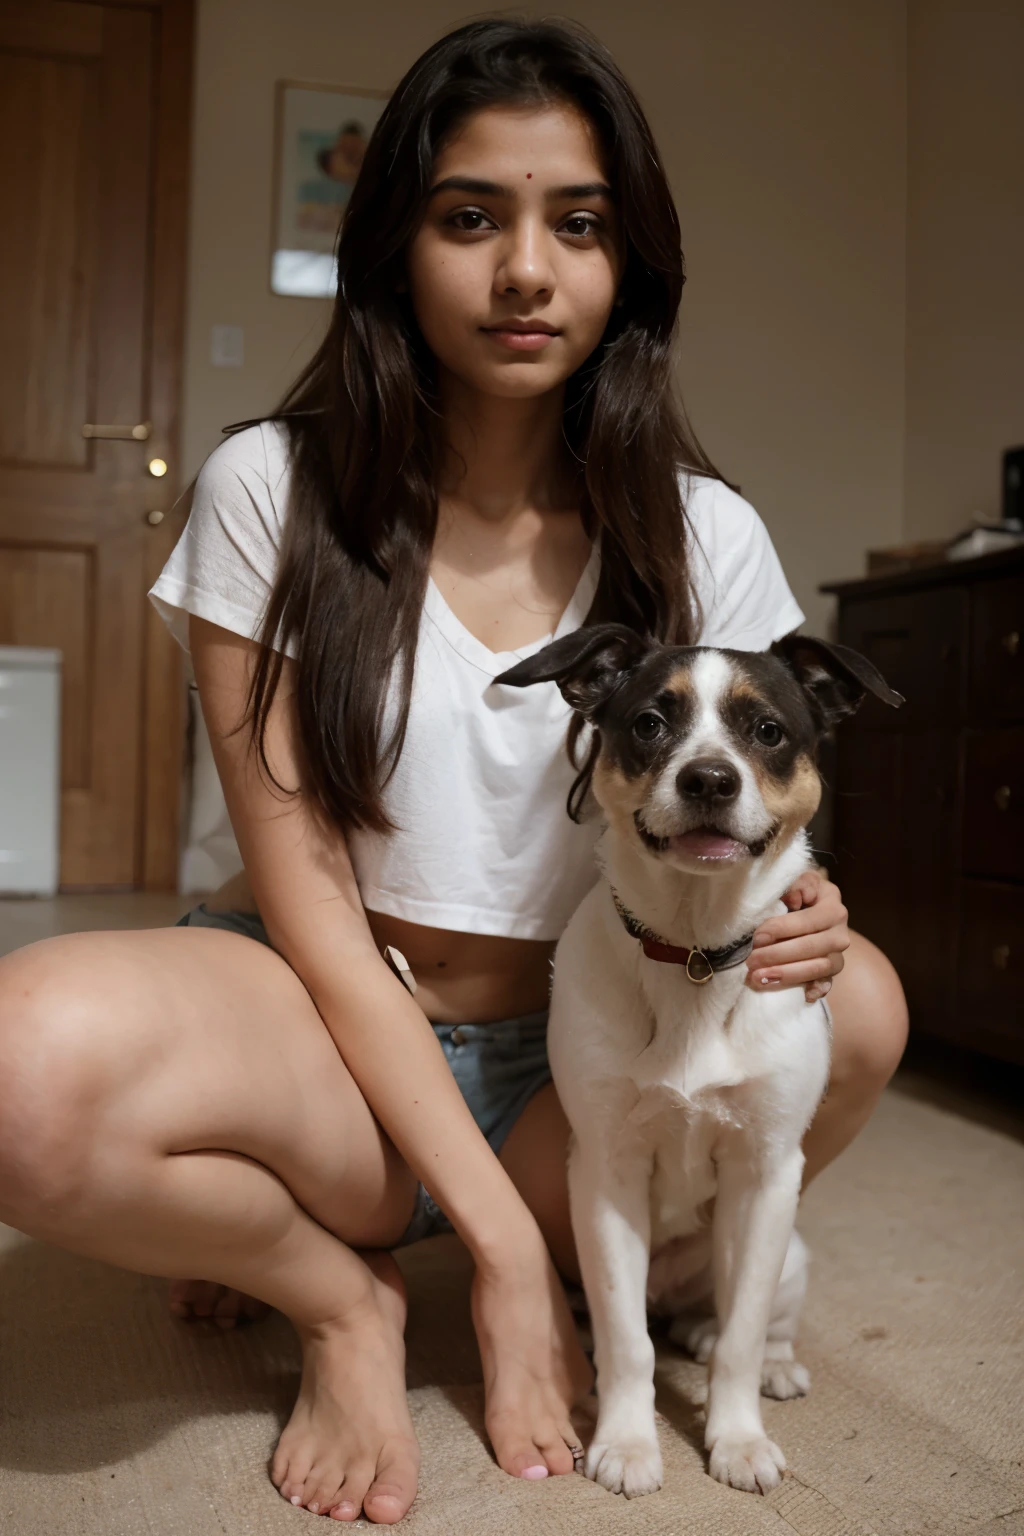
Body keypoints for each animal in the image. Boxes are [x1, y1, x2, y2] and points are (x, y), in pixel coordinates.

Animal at [497, 626, 902, 1499]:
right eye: (651, 723)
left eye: (769, 731)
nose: (709, 778)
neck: (692, 949)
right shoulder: (606, 1175)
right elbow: (627, 1343)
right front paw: (626, 1442)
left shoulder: (765, 1172)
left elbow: (743, 1337)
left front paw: (738, 1440)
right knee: (643, 1326)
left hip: (788, 1247)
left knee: (744, 1325)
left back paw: (767, 1362)